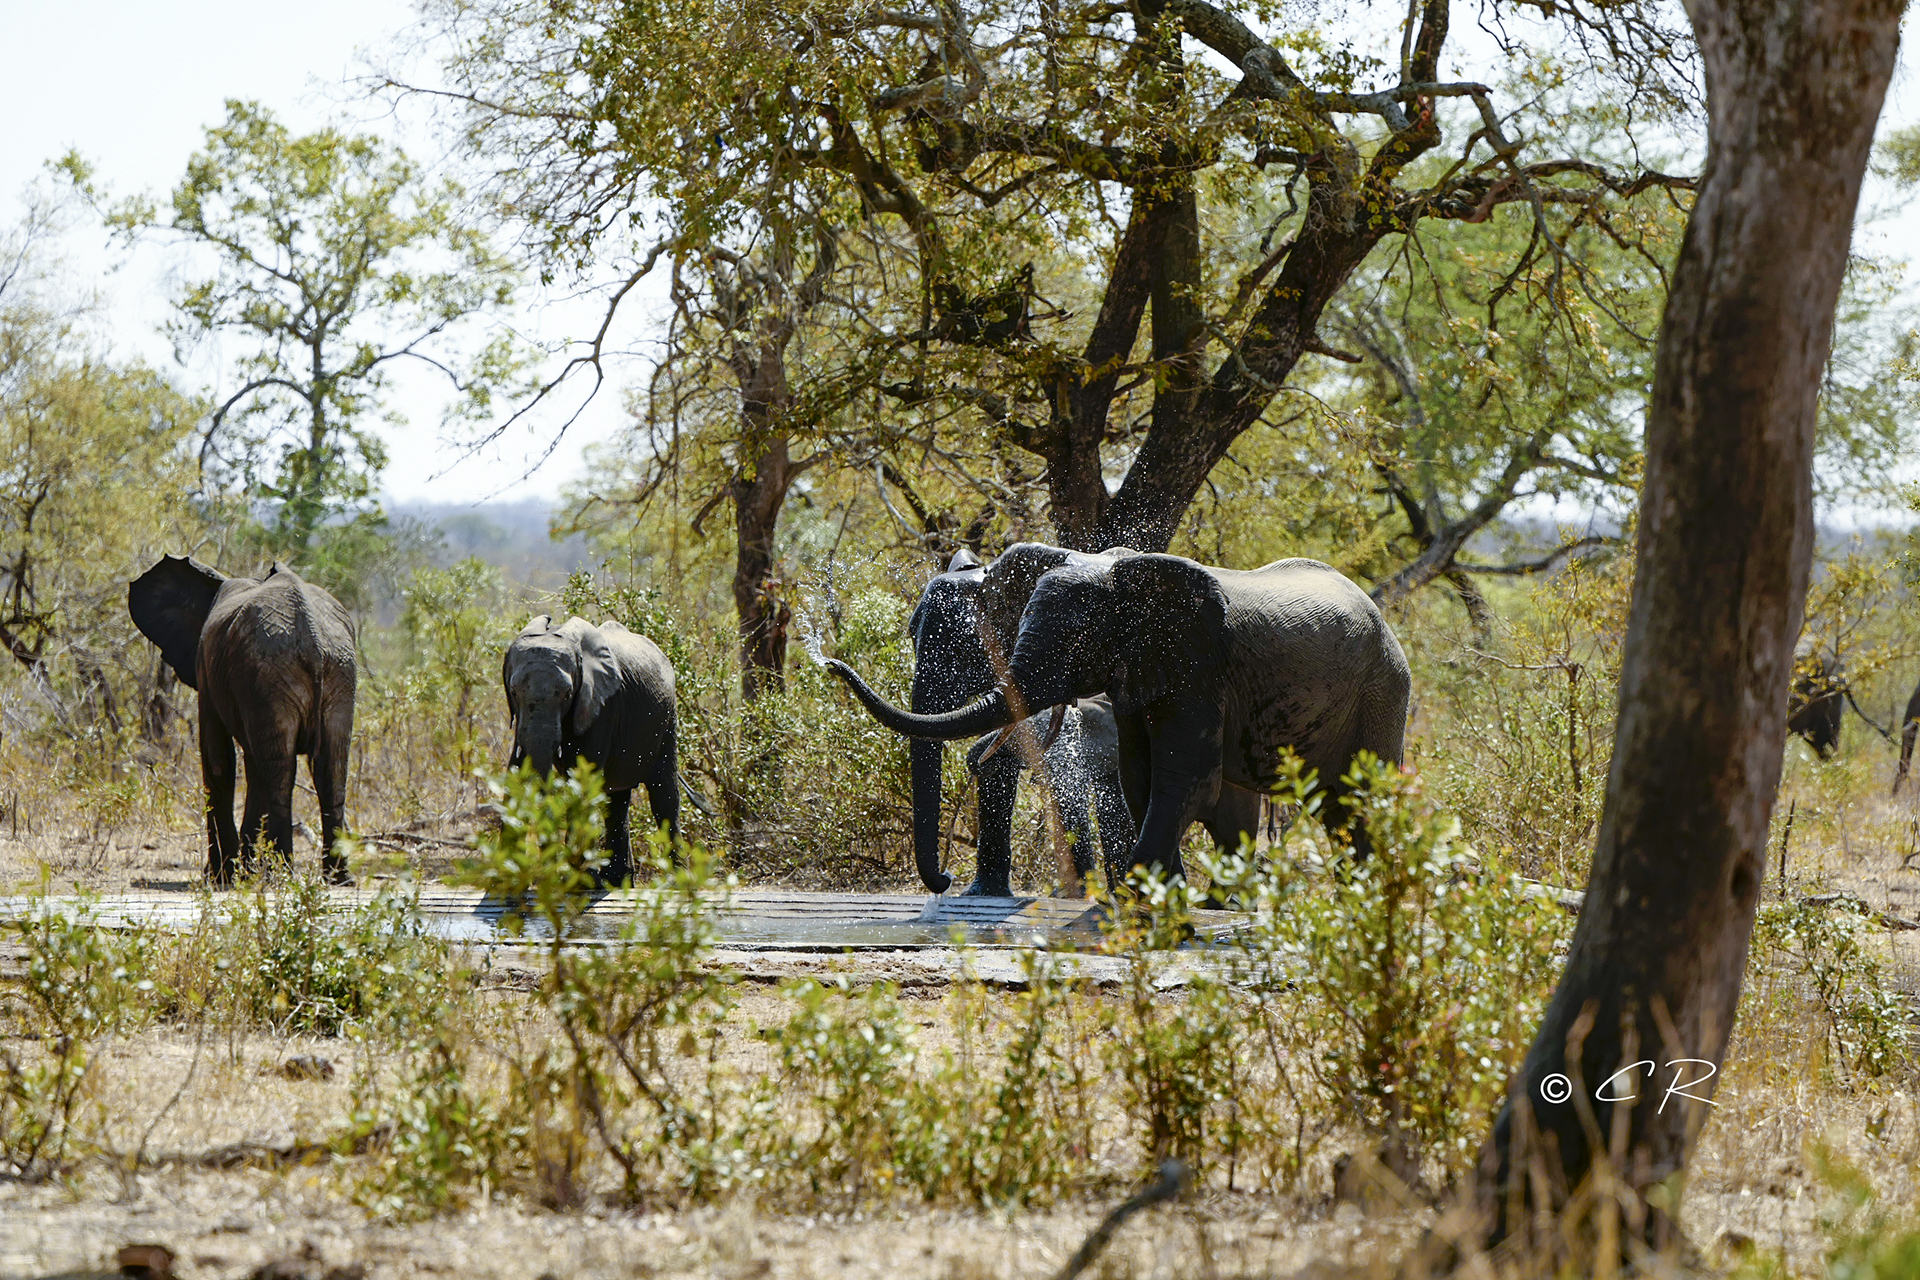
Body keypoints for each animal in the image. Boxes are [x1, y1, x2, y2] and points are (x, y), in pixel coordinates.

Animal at [127, 556, 357, 886]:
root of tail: (312, 635)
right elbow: (251, 764)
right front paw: (243, 873)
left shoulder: (208, 668)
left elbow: (218, 759)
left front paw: (221, 876)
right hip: (336, 672)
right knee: (330, 768)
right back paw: (338, 878)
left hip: (272, 671)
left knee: (279, 771)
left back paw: (280, 874)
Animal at [506, 614, 687, 886]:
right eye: (514, 692)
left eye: (567, 694)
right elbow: (514, 773)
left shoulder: (600, 707)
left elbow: (583, 780)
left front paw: (579, 885)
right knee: (617, 801)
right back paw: (616, 881)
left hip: (667, 719)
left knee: (663, 794)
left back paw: (678, 880)